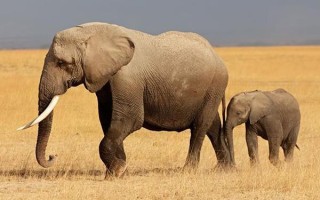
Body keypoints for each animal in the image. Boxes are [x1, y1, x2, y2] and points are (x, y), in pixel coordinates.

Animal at [18, 22, 230, 177]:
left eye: (63, 63)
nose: (53, 156)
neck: (92, 33)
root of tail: (218, 57)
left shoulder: (127, 78)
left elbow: (130, 119)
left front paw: (117, 171)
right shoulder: (104, 78)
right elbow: (107, 120)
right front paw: (119, 168)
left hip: (215, 85)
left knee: (200, 127)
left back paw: (188, 170)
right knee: (213, 126)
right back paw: (225, 168)